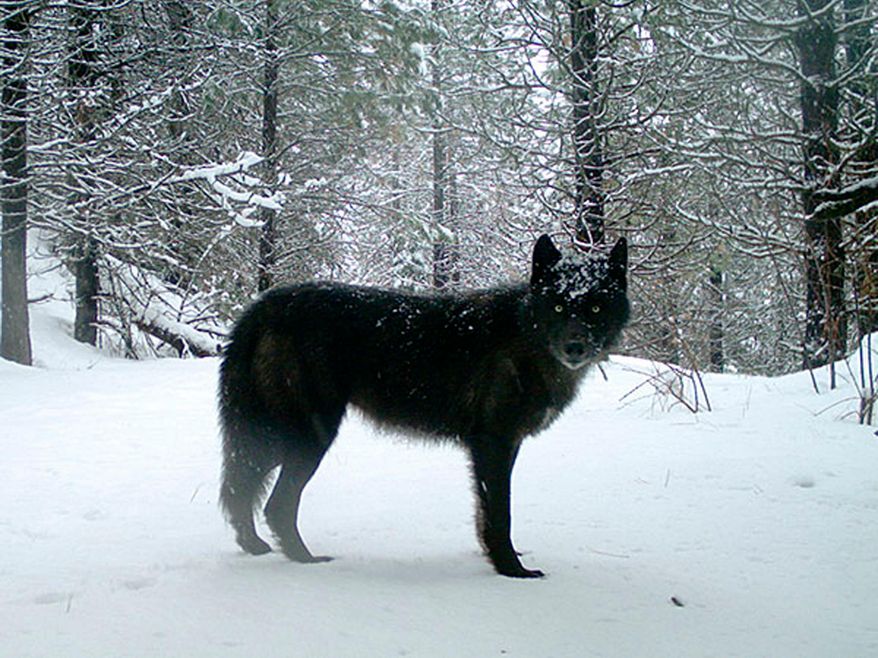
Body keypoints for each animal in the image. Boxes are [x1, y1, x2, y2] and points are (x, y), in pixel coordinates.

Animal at [218, 234, 629, 578]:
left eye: (595, 307)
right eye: (558, 305)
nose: (575, 346)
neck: (526, 335)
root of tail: (263, 306)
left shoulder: (503, 446)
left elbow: (485, 514)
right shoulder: (493, 444)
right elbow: (501, 513)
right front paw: (511, 570)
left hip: (277, 437)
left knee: (241, 487)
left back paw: (255, 546)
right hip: (307, 437)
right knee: (273, 503)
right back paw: (304, 559)